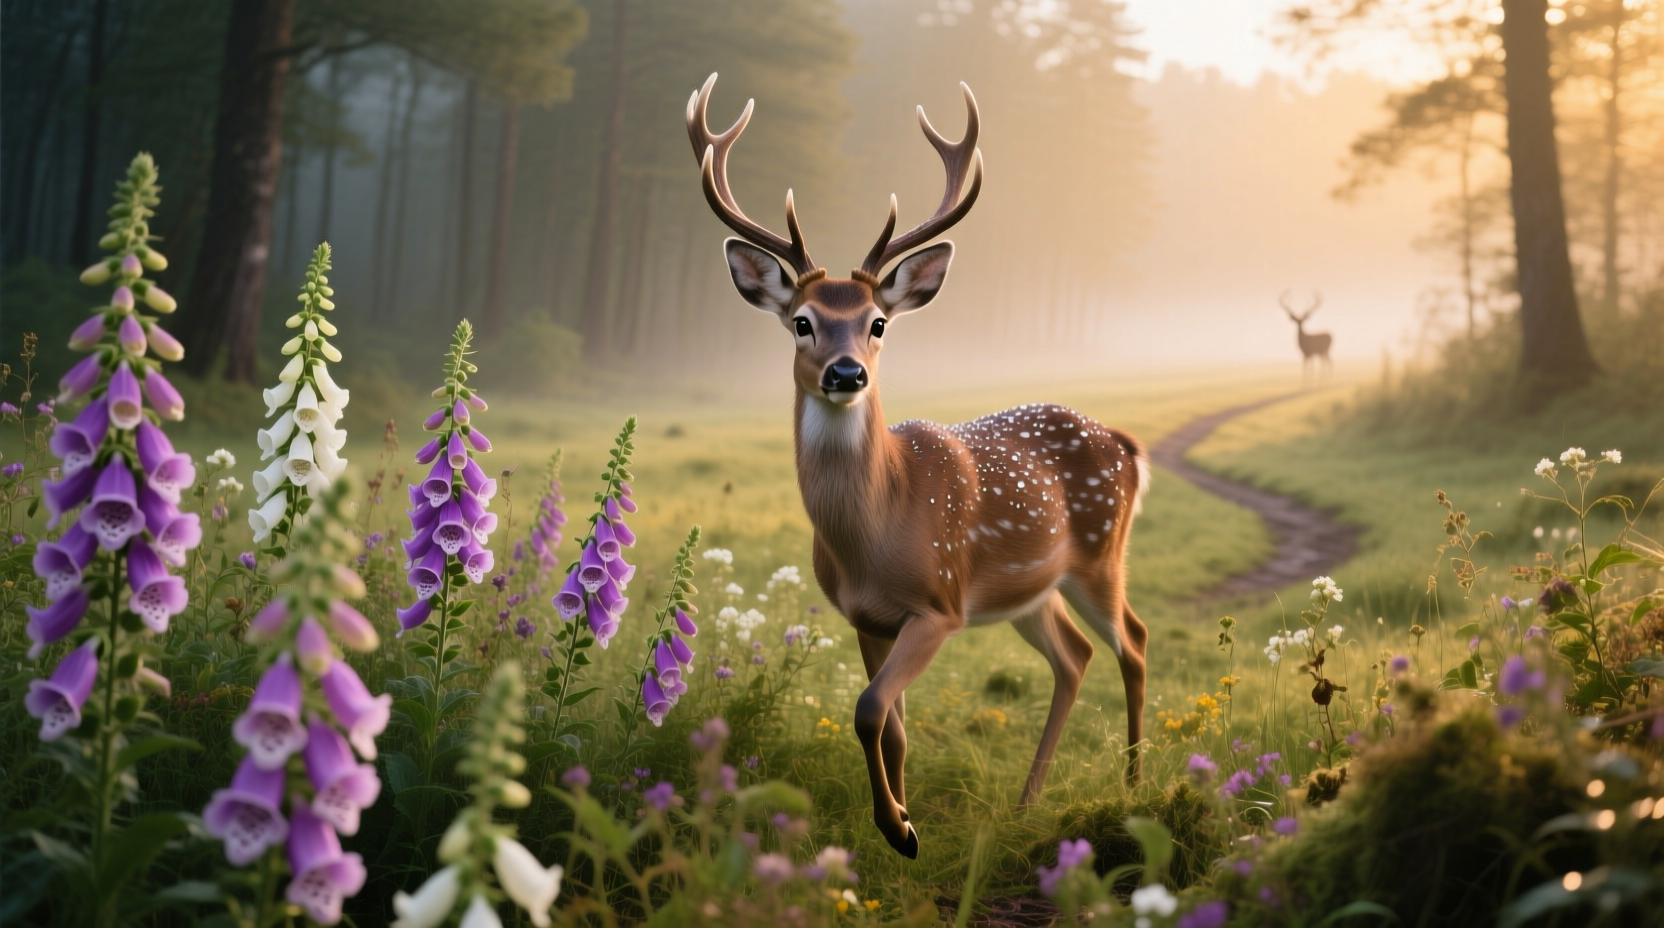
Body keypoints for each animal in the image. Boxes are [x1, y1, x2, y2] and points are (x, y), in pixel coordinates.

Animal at [687, 74, 1150, 858]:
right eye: (803, 321)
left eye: (877, 322)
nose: (846, 373)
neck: (874, 537)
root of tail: (1125, 444)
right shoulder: (864, 616)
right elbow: (892, 725)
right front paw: (901, 819)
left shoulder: (939, 605)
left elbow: (870, 708)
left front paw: (899, 830)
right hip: (1032, 591)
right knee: (1075, 655)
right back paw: (1027, 800)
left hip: (1098, 556)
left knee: (1135, 643)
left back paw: (1132, 783)